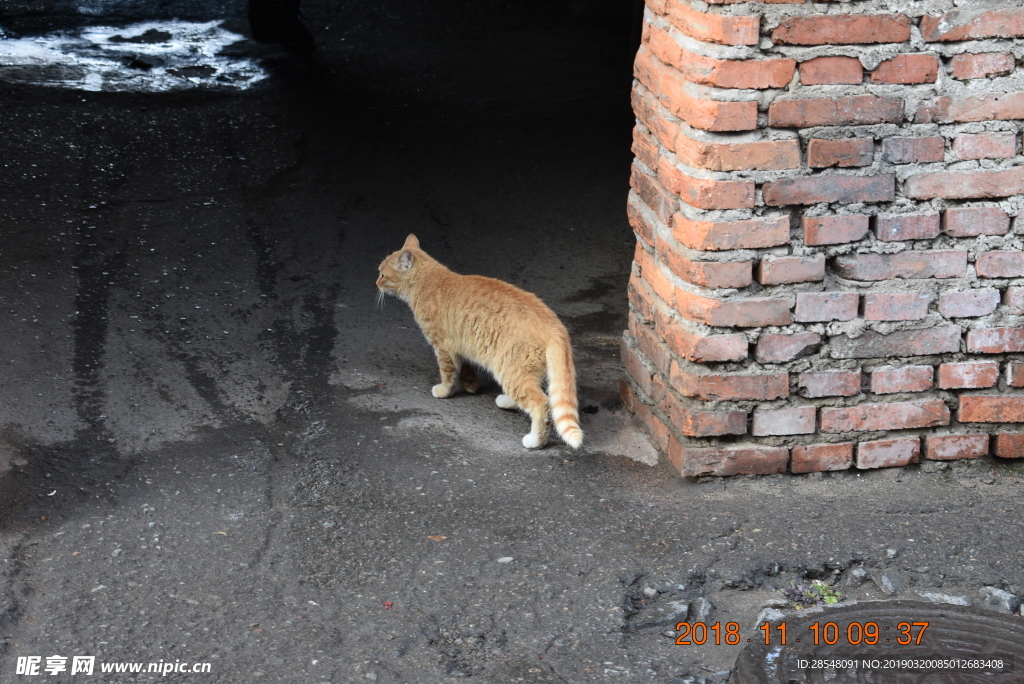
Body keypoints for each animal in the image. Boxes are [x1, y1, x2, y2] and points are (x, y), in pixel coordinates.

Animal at [376, 232, 585, 450]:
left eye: (382, 275)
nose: (375, 283)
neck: (427, 280)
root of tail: (556, 327)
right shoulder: (463, 344)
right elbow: (466, 368)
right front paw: (471, 385)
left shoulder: (443, 347)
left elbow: (448, 374)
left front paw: (444, 391)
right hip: (521, 371)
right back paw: (507, 402)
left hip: (510, 371)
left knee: (541, 403)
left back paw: (535, 440)